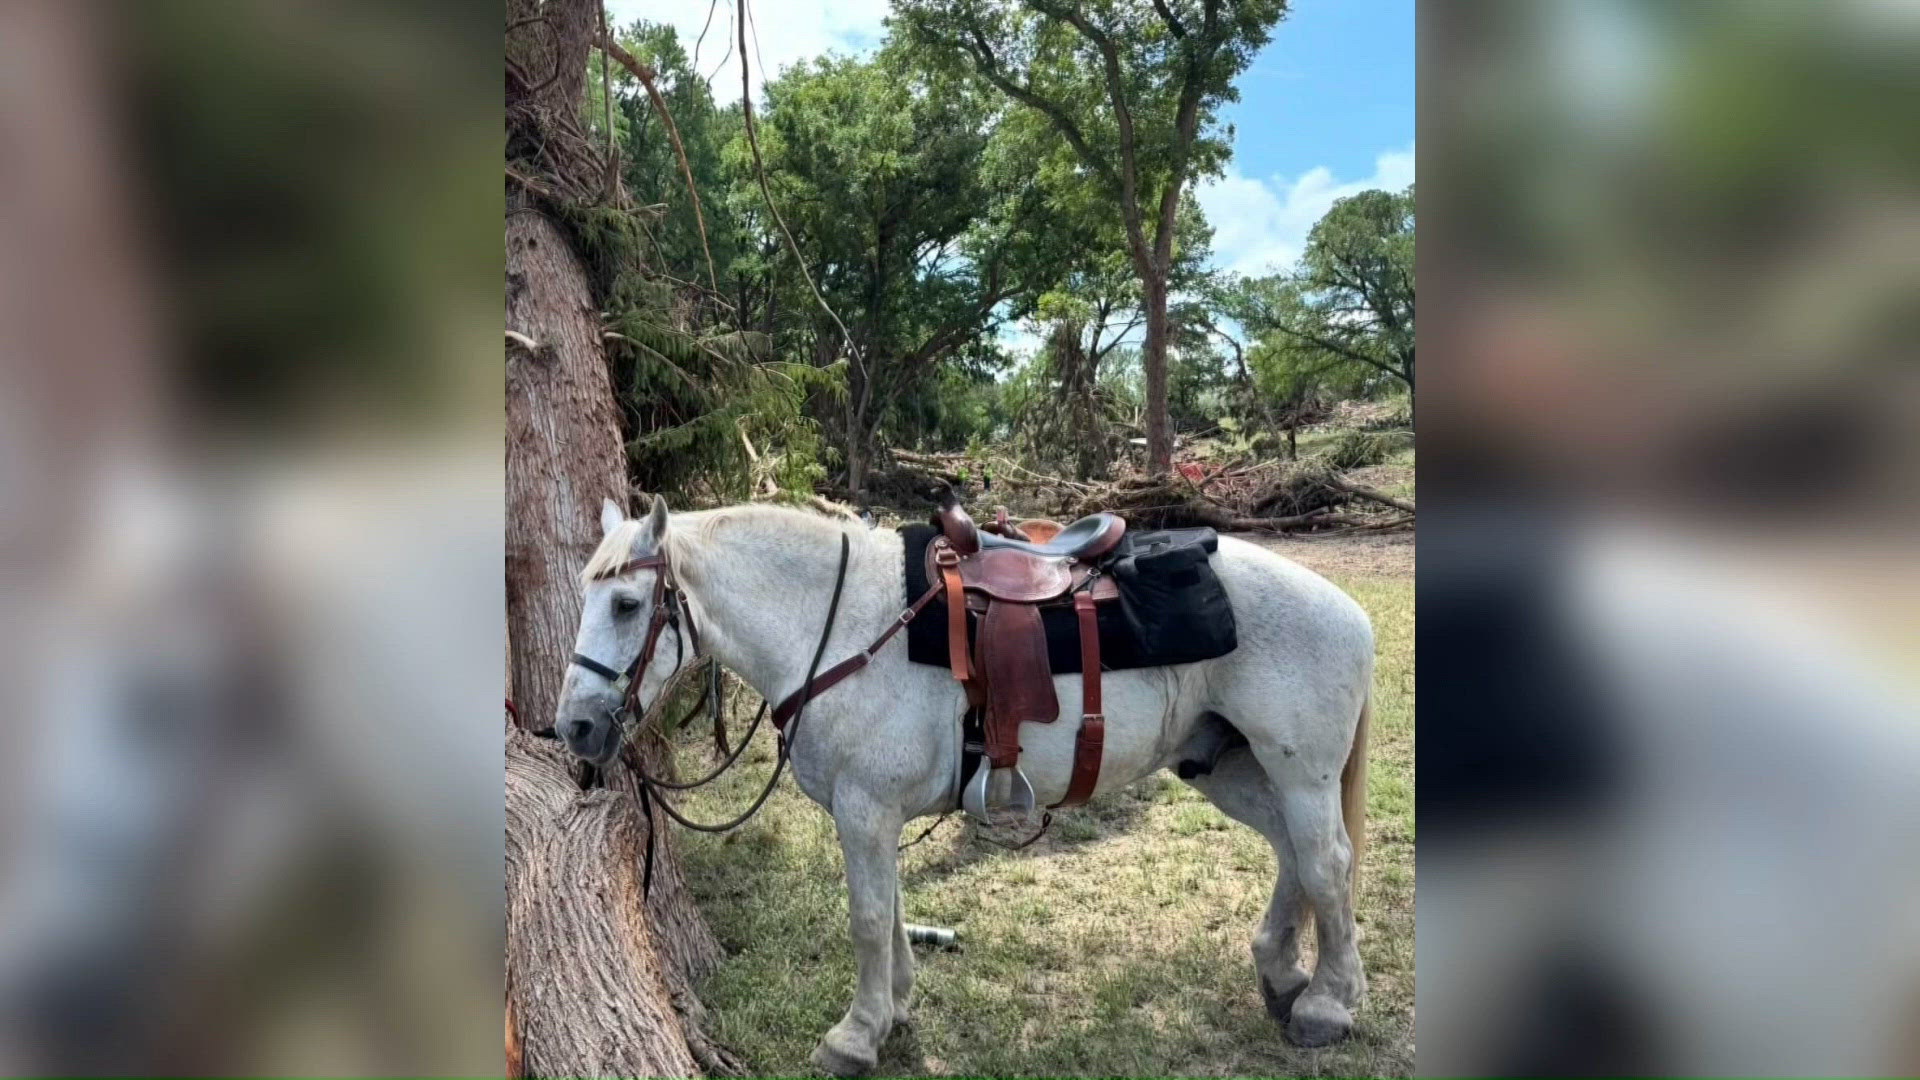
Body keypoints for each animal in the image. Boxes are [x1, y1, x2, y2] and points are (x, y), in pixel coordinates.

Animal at [555, 495, 1374, 1074]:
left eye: (627, 605)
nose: (576, 728)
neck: (842, 628)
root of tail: (1349, 609)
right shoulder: (873, 815)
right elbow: (889, 913)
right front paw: (893, 1012)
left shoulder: (864, 809)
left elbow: (865, 918)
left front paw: (855, 1036)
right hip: (1230, 765)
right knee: (1295, 853)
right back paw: (1281, 972)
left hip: (1298, 769)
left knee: (1328, 862)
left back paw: (1327, 1006)